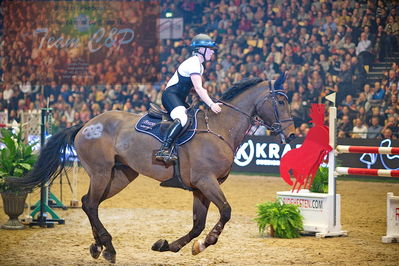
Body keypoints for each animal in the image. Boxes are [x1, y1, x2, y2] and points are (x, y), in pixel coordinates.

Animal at [8, 77, 296, 264]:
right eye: (280, 102)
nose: (292, 134)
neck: (219, 129)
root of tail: (86, 123)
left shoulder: (200, 188)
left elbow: (197, 225)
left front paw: (171, 246)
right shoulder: (206, 181)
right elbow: (225, 212)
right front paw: (204, 244)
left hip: (120, 176)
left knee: (90, 203)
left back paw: (99, 245)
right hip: (102, 173)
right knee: (90, 204)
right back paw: (109, 247)